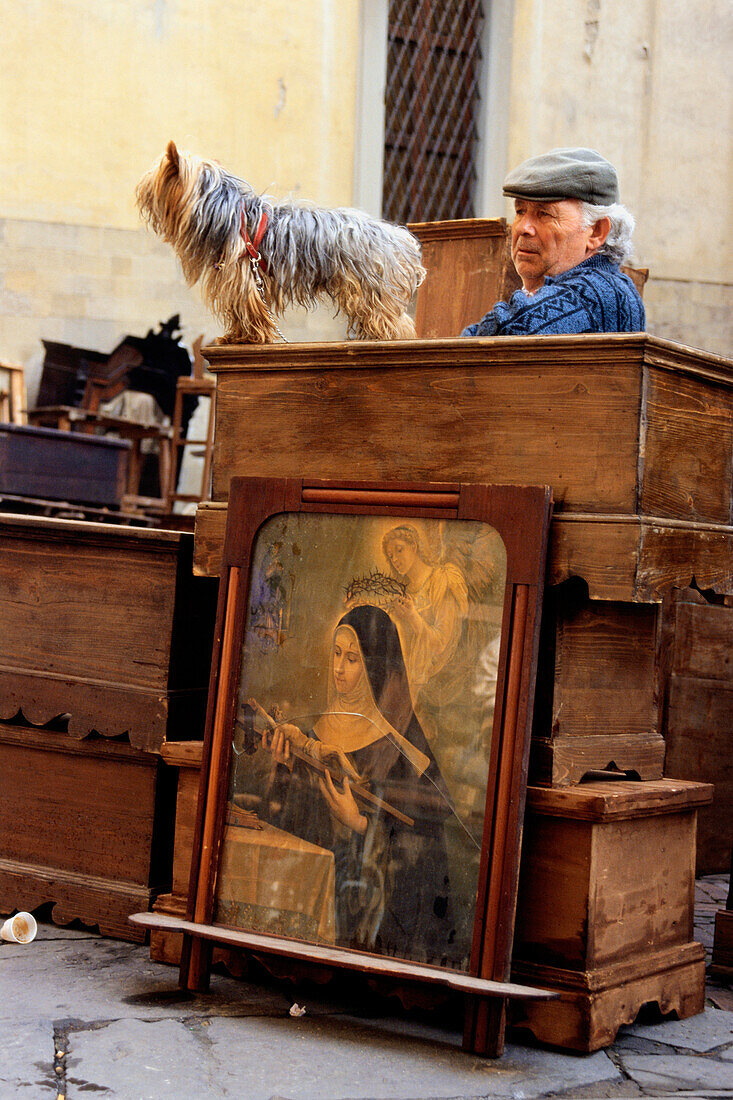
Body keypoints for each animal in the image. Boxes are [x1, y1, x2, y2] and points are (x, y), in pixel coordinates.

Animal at [134, 141, 424, 341]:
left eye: (153, 180)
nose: (140, 192)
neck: (225, 211)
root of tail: (400, 238)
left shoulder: (242, 276)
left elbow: (246, 309)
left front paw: (247, 338)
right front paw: (236, 336)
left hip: (370, 288)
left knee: (394, 320)